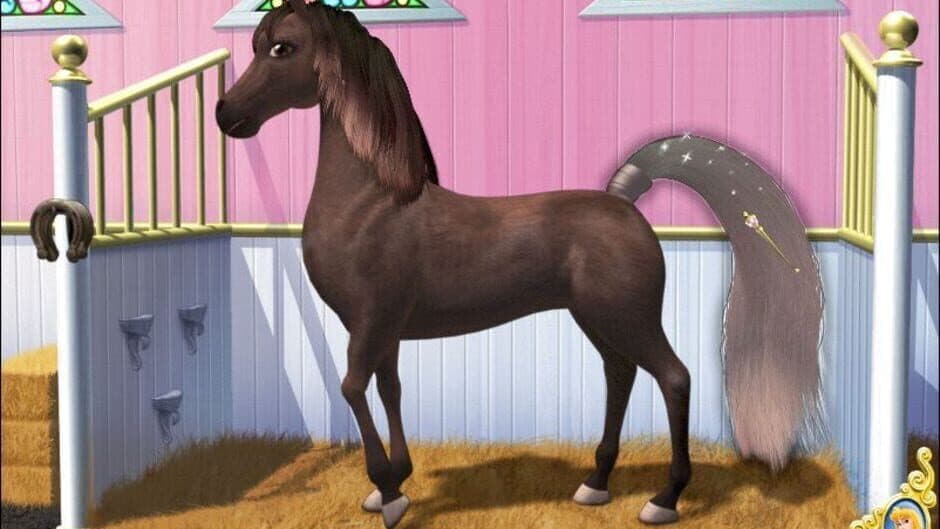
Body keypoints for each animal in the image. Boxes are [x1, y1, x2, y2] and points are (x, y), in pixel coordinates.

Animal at [216, 2, 824, 527]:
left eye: (282, 48)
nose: (227, 115)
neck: (372, 204)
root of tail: (624, 200)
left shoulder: (371, 323)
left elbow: (351, 388)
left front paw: (389, 493)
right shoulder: (381, 330)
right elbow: (388, 390)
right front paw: (395, 482)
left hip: (629, 319)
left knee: (674, 378)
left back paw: (664, 499)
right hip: (597, 320)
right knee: (620, 375)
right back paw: (595, 484)